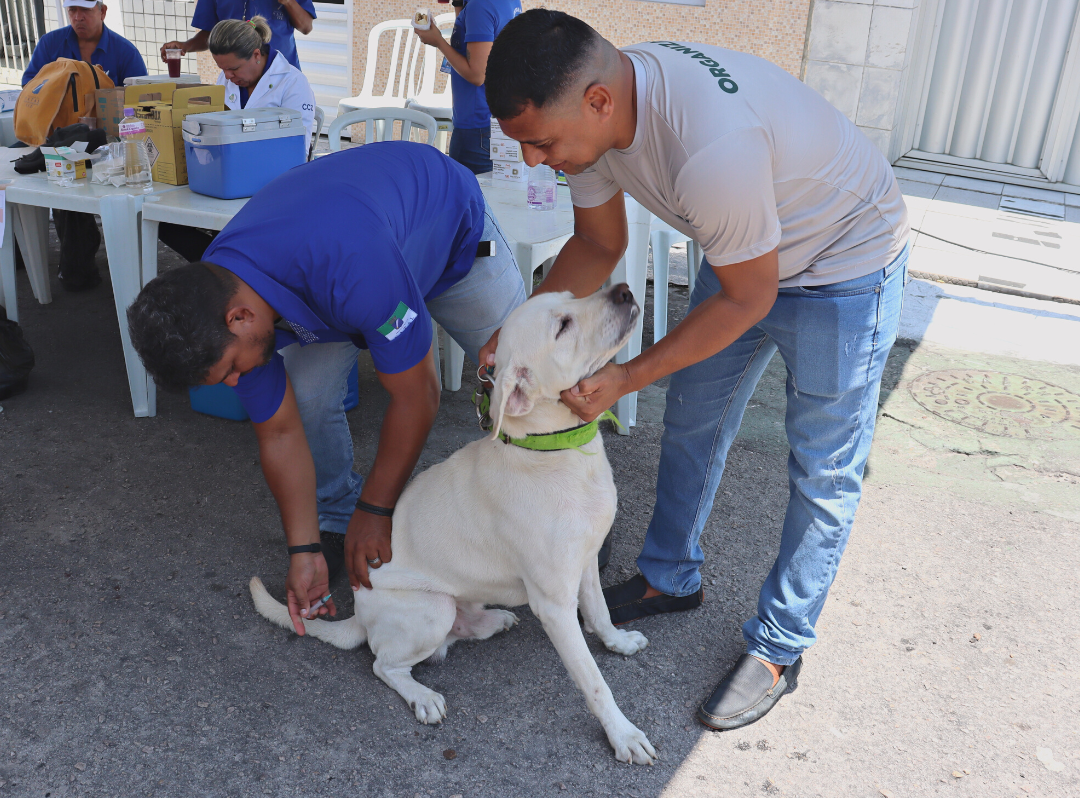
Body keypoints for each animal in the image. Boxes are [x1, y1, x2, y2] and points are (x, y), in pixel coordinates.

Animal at [250, 285, 656, 764]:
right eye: (562, 326)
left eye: (572, 296)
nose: (624, 291)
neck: (556, 450)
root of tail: (360, 614)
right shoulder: (554, 604)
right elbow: (594, 682)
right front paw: (623, 734)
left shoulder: (587, 562)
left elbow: (600, 611)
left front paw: (618, 642)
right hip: (432, 609)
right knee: (383, 663)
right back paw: (421, 695)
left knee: (454, 631)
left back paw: (491, 621)